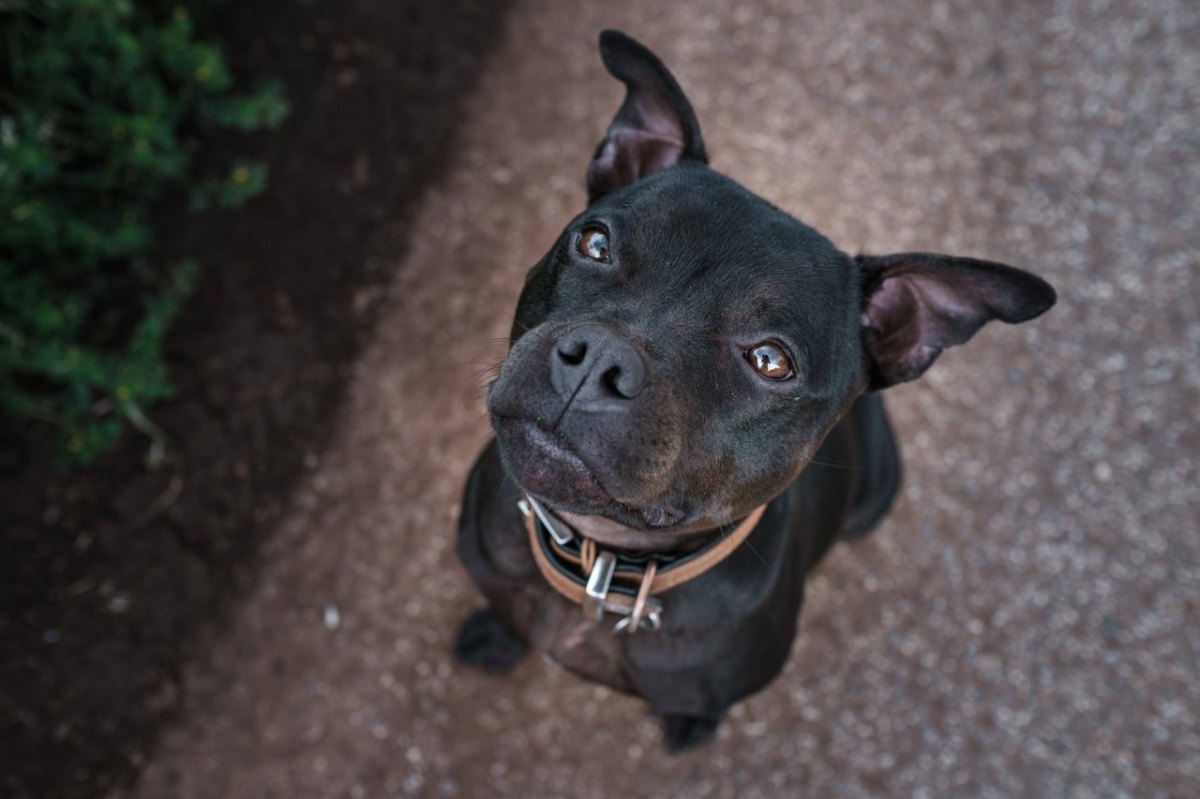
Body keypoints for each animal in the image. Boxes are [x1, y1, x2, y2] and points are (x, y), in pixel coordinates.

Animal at [453, 31, 1056, 748]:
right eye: (595, 243)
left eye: (770, 361)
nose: (598, 358)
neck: (607, 566)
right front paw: (495, 634)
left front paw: (686, 727)